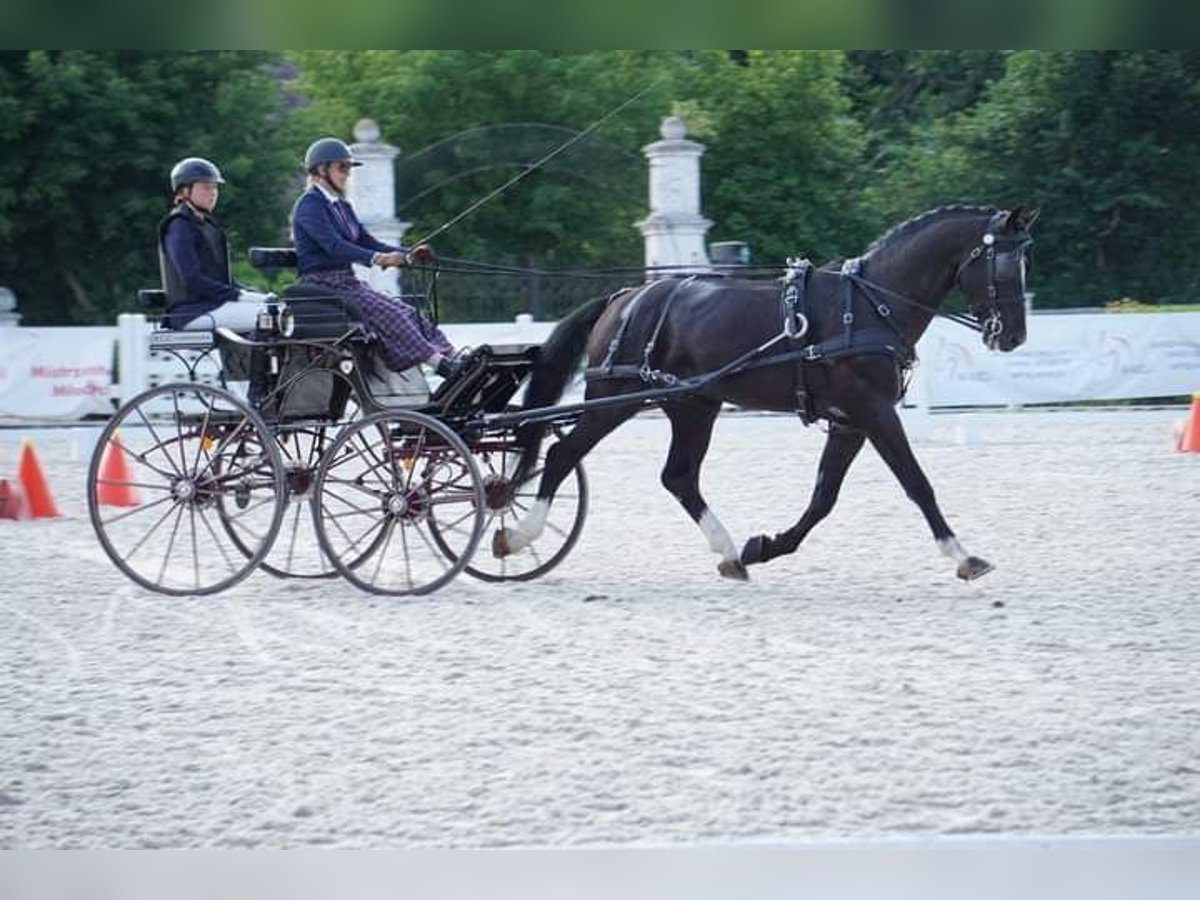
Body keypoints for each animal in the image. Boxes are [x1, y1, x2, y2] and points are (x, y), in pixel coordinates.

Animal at [492, 204, 1036, 580]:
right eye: (1004, 266)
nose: (1012, 336)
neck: (869, 304)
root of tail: (627, 296)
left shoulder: (849, 422)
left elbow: (823, 497)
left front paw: (766, 546)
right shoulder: (874, 411)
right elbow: (917, 483)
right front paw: (962, 554)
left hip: (693, 405)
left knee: (678, 477)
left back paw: (731, 553)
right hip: (616, 398)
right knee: (563, 454)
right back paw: (517, 537)